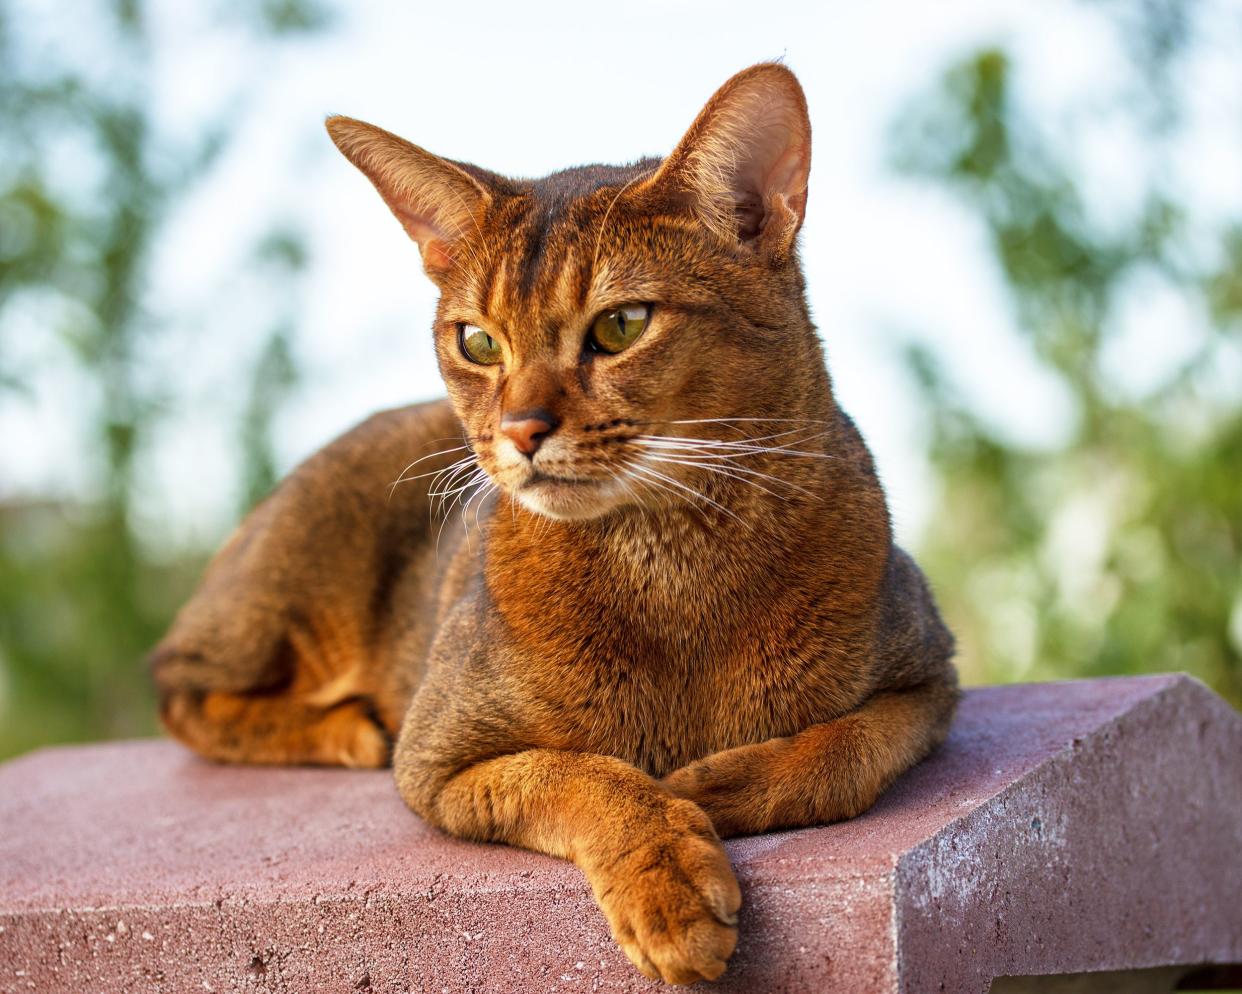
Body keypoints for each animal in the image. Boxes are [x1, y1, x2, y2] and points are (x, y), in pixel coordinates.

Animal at [150, 63, 953, 984]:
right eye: (477, 342)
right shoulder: (439, 756)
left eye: (621, 324)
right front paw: (668, 875)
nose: (520, 430)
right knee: (177, 684)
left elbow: (842, 751)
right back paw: (344, 728)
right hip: (287, 591)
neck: (672, 565)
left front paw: (715, 786)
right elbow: (579, 775)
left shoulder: (931, 677)